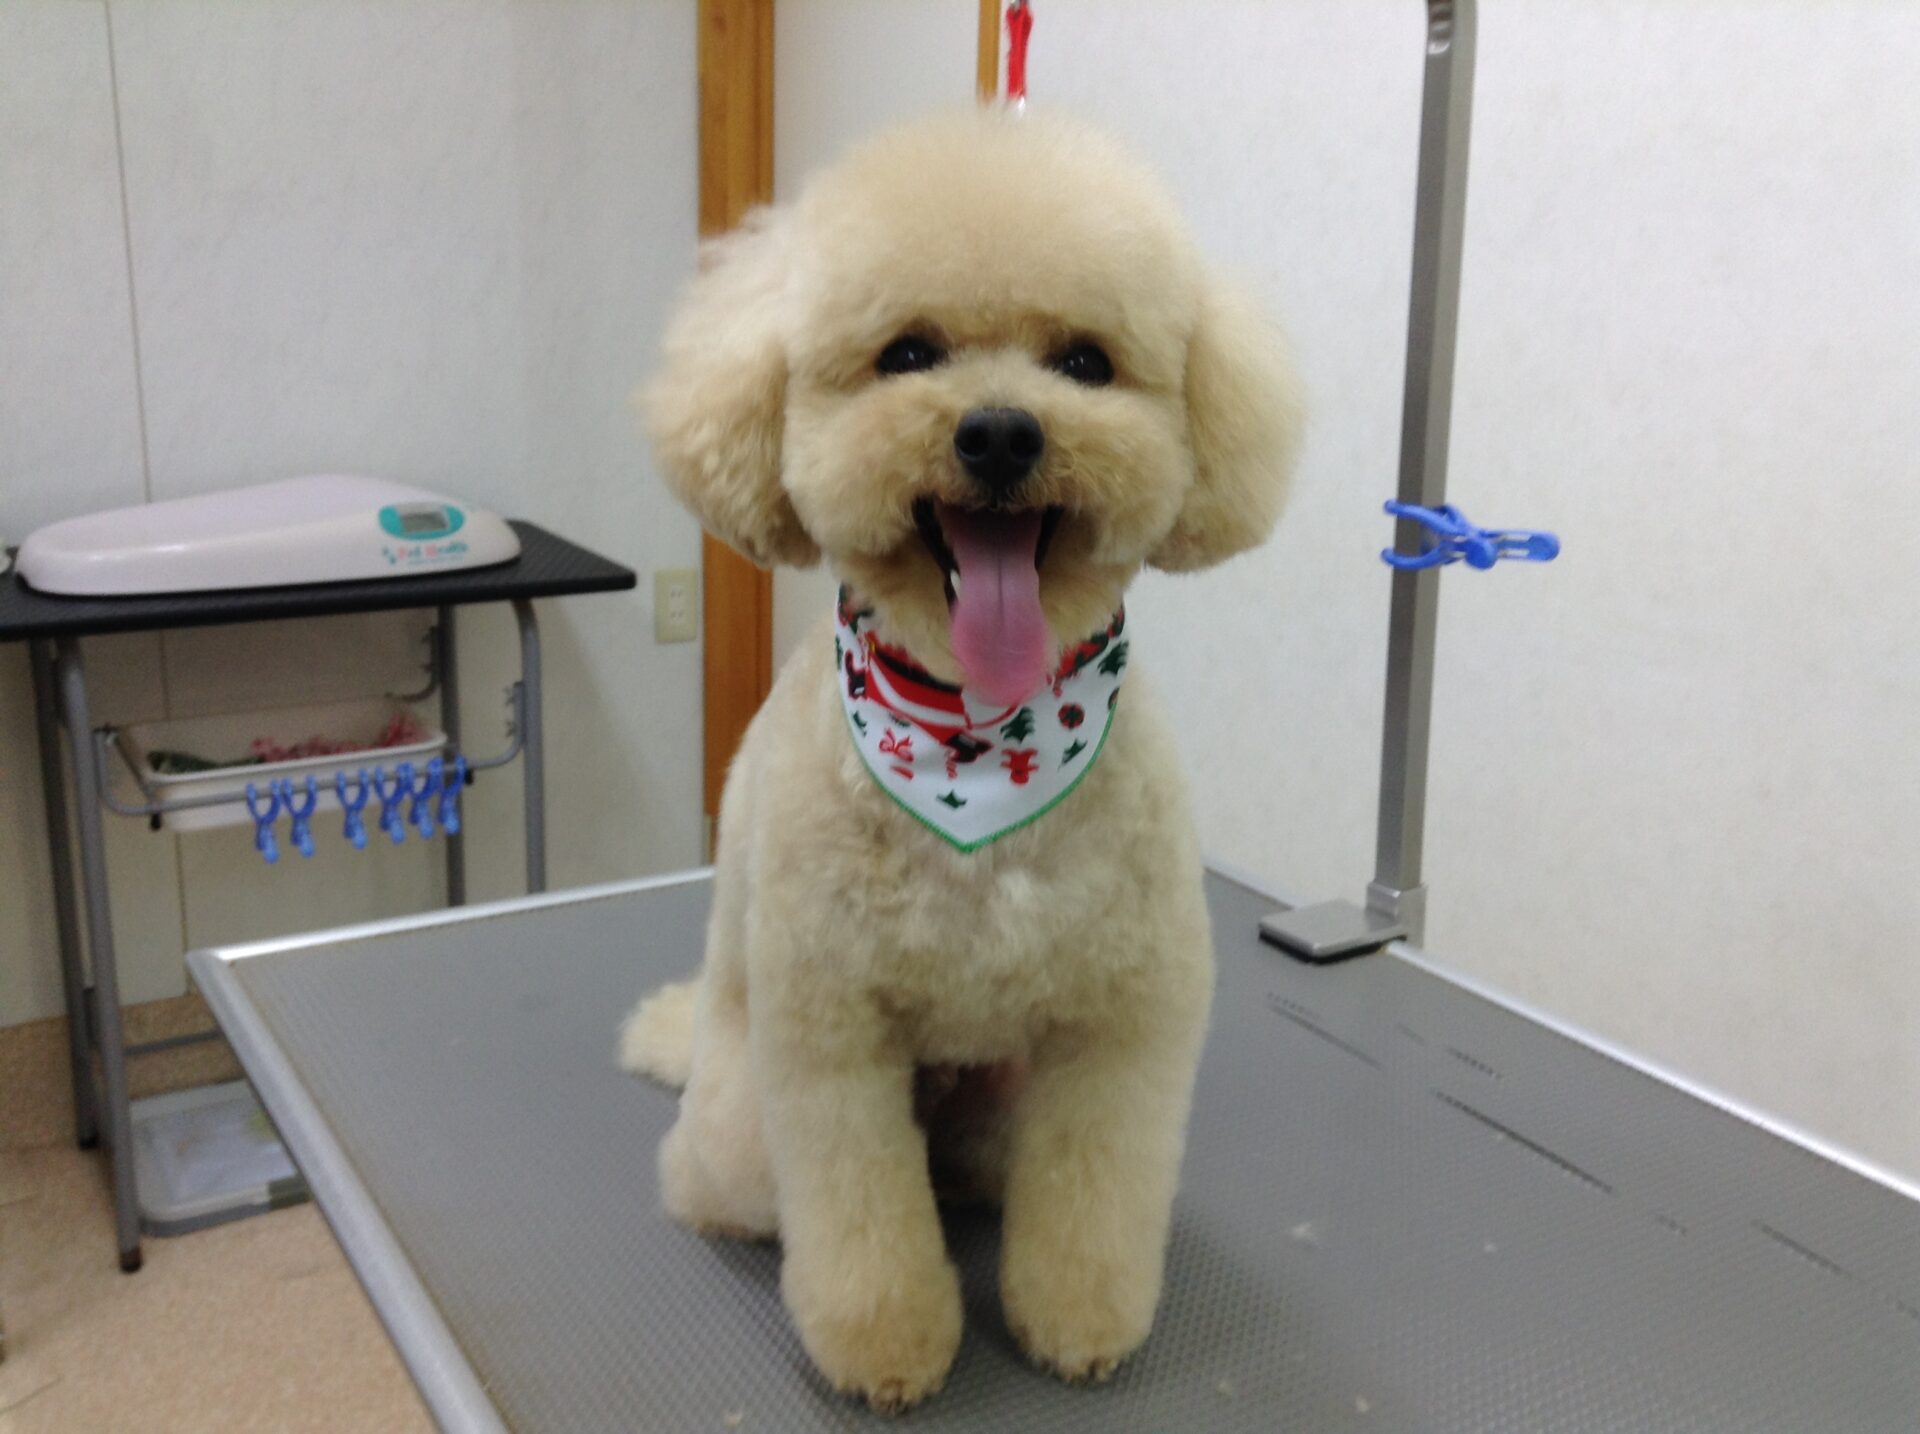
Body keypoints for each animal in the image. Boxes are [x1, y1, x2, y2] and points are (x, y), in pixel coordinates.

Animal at [620, 108, 1301, 1412]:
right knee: (717, 1186)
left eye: (1084, 363)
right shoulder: (833, 1038)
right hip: (746, 1123)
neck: (981, 742)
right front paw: (887, 1351)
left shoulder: (1118, 1022)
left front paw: (1080, 1322)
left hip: (1001, 1100)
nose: (997, 431)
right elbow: (863, 1221)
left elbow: (1093, 1196)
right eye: (908, 353)